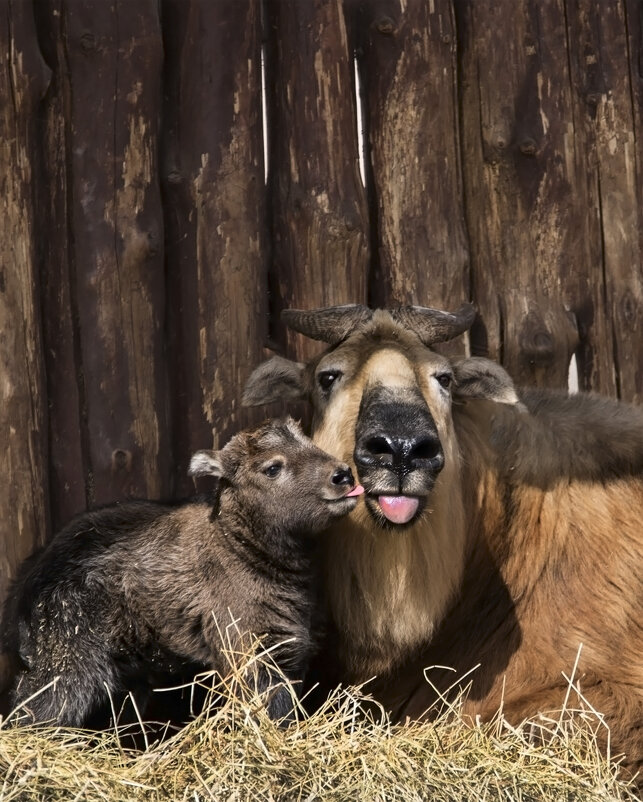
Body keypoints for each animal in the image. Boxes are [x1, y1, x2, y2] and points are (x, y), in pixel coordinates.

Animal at [2, 418, 362, 724]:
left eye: (308, 440)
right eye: (272, 467)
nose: (343, 475)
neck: (239, 546)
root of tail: (21, 591)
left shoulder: (291, 653)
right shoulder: (249, 651)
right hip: (67, 662)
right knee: (30, 711)